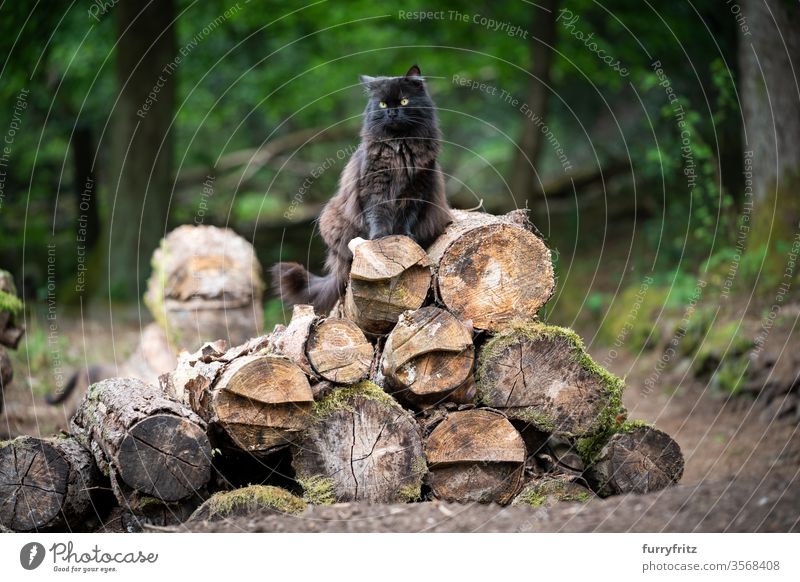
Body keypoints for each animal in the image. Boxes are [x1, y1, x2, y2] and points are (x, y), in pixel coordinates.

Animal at [274, 65, 454, 312]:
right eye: (383, 104)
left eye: (404, 101)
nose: (392, 113)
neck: (399, 146)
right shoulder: (374, 187)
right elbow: (378, 214)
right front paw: (379, 238)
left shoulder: (417, 186)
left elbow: (407, 216)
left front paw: (405, 236)